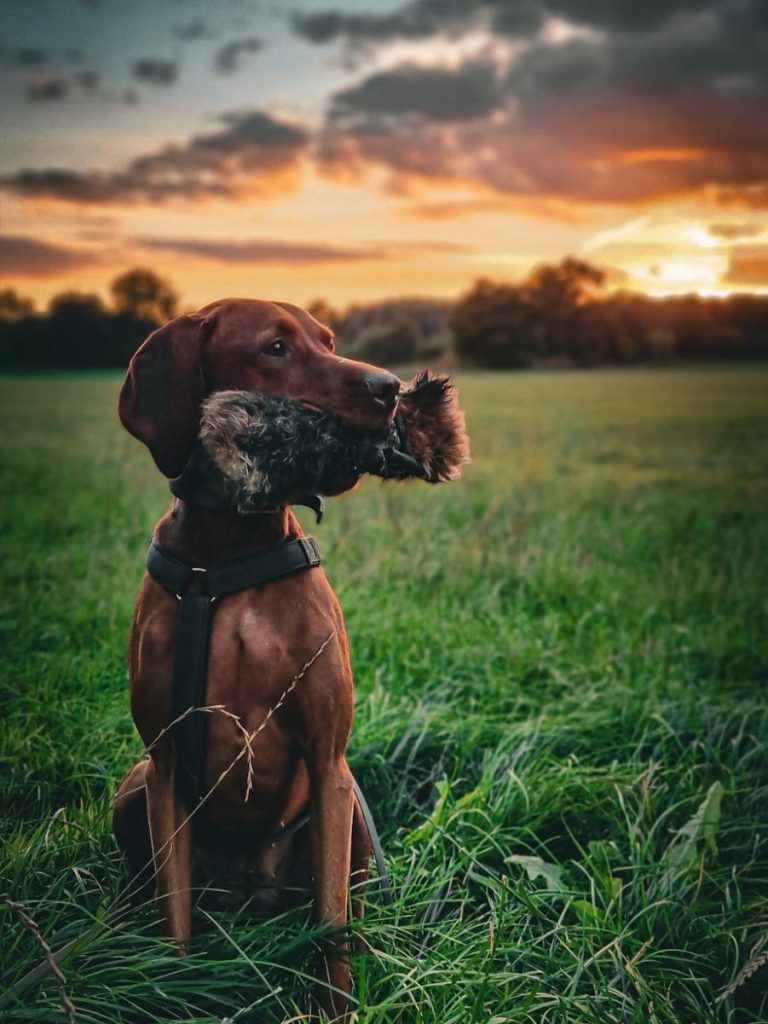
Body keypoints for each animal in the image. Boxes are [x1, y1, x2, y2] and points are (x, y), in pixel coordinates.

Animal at [111, 296, 466, 1015]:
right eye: (275, 347)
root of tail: (249, 894)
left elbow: (331, 924)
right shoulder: (164, 764)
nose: (390, 388)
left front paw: (337, 1010)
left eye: (327, 340)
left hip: (348, 807)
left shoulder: (329, 761)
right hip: (133, 787)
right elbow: (175, 917)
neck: (229, 549)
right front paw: (174, 993)